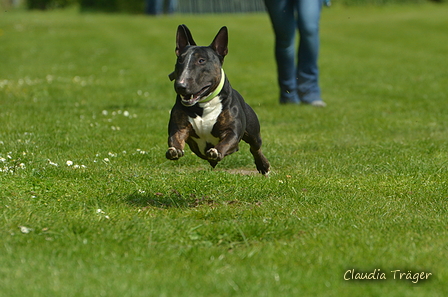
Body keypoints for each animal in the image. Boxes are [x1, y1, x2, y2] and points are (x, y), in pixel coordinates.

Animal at [165, 25, 268, 175]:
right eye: (180, 60)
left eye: (201, 60)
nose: (180, 86)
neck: (203, 105)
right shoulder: (180, 127)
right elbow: (175, 137)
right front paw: (174, 150)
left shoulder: (231, 131)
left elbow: (227, 141)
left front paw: (216, 151)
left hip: (253, 132)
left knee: (255, 147)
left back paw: (263, 165)